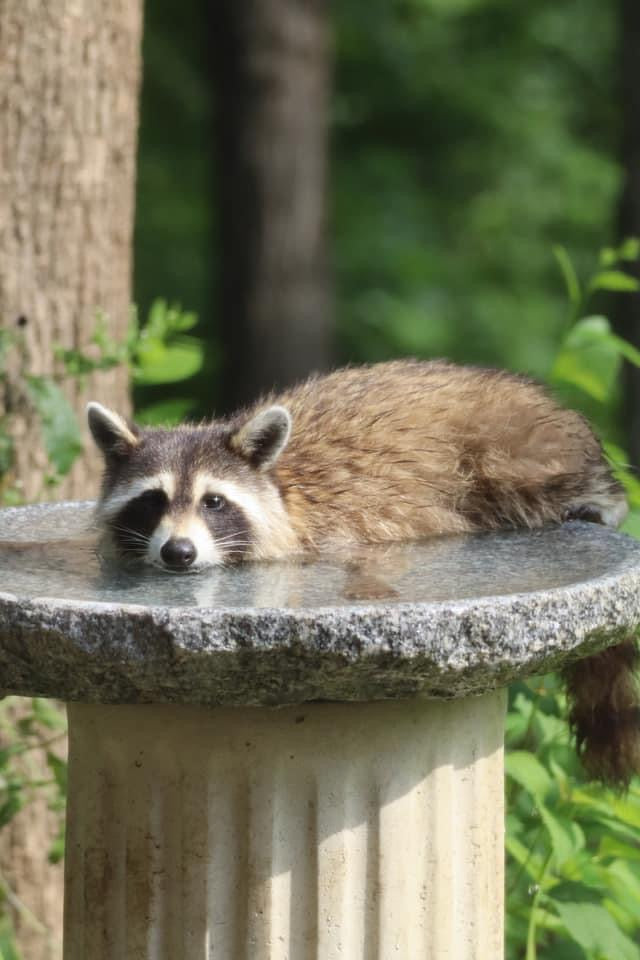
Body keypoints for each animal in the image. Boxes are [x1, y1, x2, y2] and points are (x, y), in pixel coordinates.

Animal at [89, 360, 640, 788]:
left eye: (214, 502)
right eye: (153, 500)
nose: (178, 553)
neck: (282, 488)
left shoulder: (349, 529)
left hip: (517, 450)